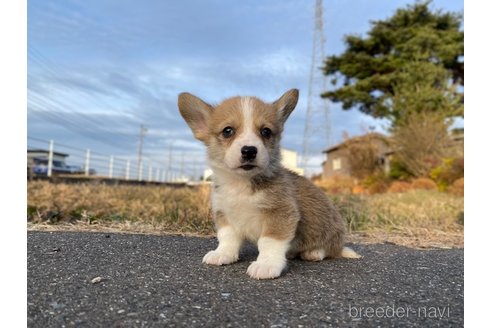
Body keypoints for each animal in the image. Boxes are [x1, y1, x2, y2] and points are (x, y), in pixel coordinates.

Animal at [179, 89, 360, 280]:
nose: (249, 151)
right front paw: (222, 254)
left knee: (331, 249)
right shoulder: (224, 214)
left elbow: (269, 242)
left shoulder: (280, 213)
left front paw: (266, 265)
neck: (241, 183)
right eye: (228, 131)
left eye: (266, 131)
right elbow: (227, 237)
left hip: (332, 231)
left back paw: (314, 252)